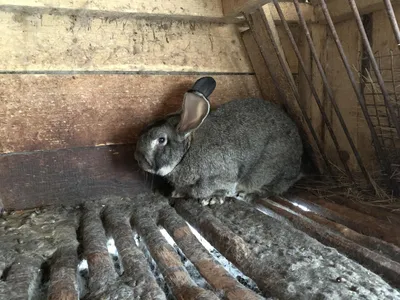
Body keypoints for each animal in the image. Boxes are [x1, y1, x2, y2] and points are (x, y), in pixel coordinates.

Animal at [134, 77, 304, 206]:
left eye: (161, 139)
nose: (138, 159)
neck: (186, 153)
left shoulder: (219, 177)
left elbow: (219, 188)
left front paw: (212, 199)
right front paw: (178, 193)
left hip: (268, 169)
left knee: (271, 188)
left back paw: (248, 195)